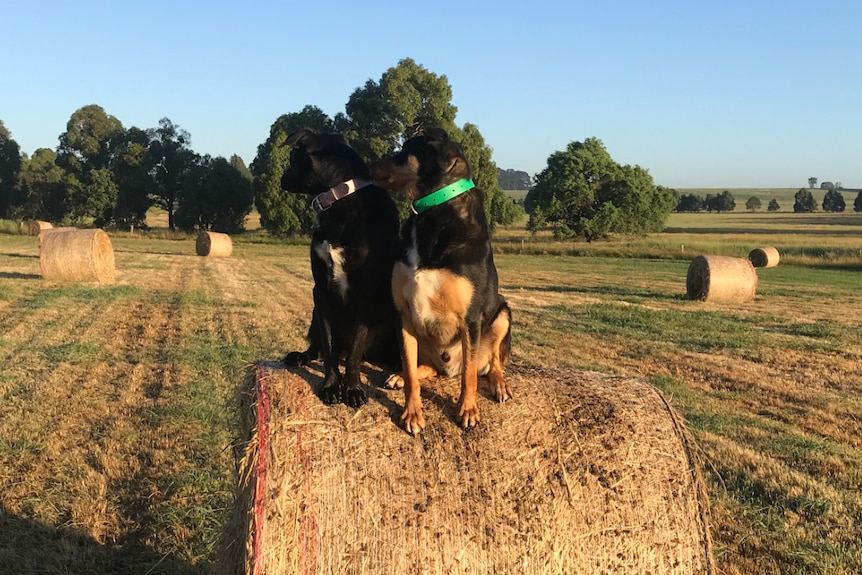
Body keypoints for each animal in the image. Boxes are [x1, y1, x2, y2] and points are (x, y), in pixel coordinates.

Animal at [284, 129, 404, 410]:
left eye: (292, 157)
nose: (282, 179)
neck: (341, 198)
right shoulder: (321, 291)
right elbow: (328, 347)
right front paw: (330, 386)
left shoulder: (366, 296)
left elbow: (354, 351)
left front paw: (353, 390)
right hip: (315, 311)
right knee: (320, 347)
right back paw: (300, 356)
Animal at [372, 126, 512, 432]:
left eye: (405, 150)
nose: (370, 164)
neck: (433, 212)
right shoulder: (403, 313)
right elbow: (410, 372)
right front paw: (412, 413)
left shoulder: (470, 318)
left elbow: (469, 376)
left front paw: (468, 410)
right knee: (425, 368)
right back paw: (400, 375)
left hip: (503, 314)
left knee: (492, 364)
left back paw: (499, 385)